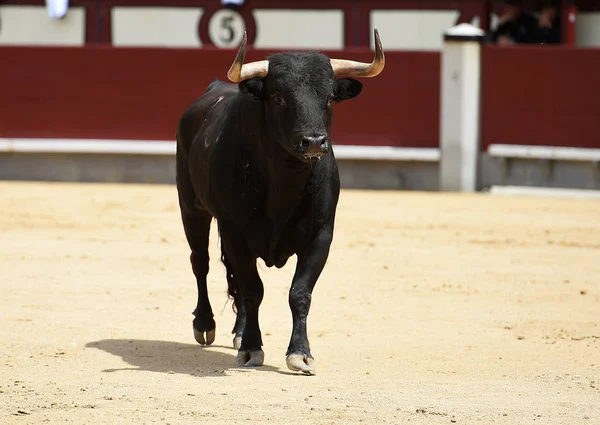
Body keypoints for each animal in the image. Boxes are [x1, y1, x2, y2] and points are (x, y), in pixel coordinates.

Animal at [176, 30, 386, 374]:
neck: (284, 182)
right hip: (191, 208)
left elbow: (299, 293)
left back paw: (238, 332)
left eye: (329, 98)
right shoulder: (235, 232)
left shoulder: (321, 235)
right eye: (278, 98)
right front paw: (251, 348)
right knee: (201, 262)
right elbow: (253, 290)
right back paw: (205, 324)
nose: (313, 142)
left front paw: (300, 353)